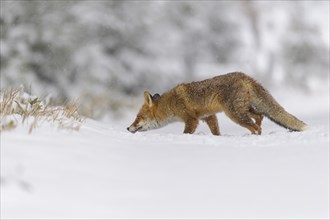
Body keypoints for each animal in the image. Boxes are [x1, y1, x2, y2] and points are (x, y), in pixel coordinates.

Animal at [127, 72, 308, 135]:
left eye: (138, 117)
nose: (128, 128)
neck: (170, 104)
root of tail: (244, 75)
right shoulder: (209, 117)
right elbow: (216, 133)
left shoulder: (192, 119)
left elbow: (186, 133)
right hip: (244, 109)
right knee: (261, 116)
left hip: (234, 113)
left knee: (255, 126)